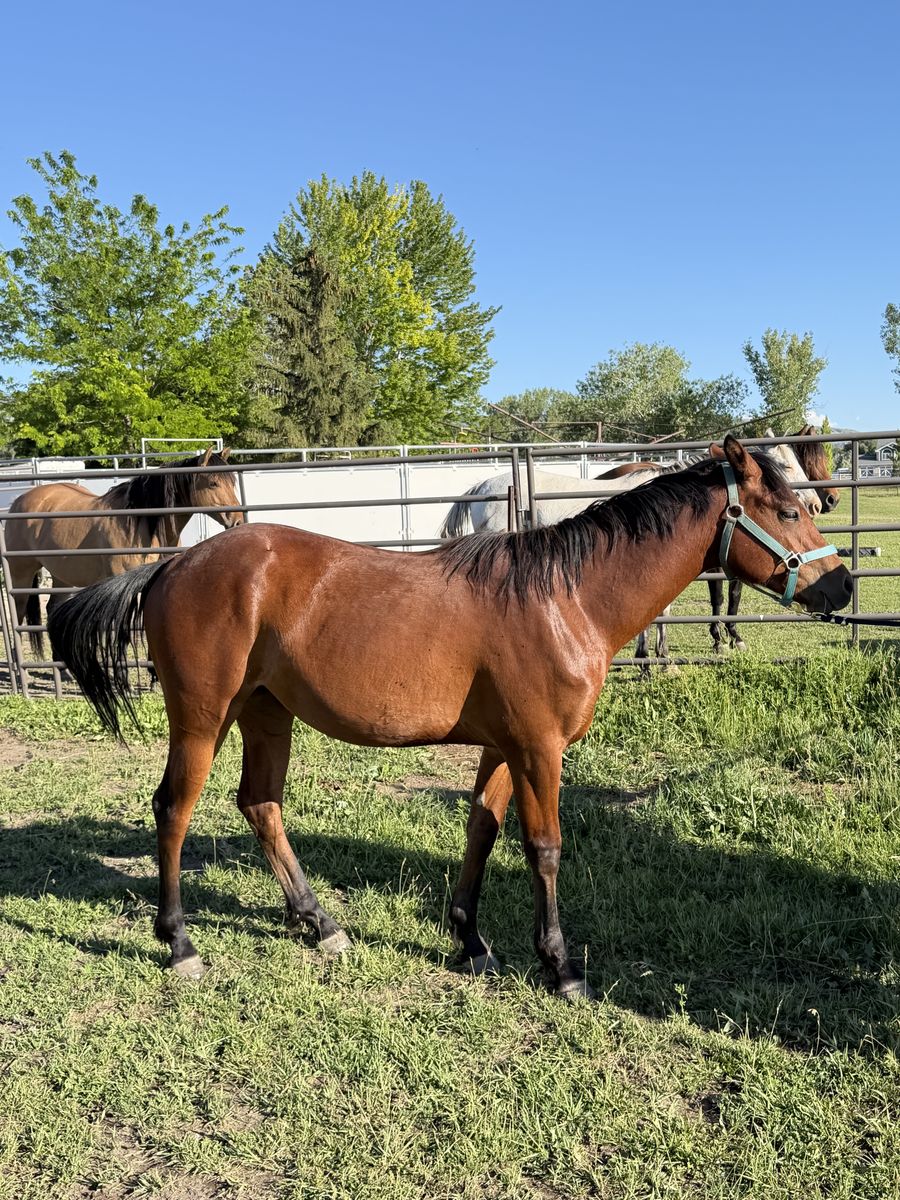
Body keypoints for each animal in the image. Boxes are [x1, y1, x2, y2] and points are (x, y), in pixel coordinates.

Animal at [4, 449, 243, 654]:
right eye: (213, 483)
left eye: (232, 482)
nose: (238, 521)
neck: (140, 523)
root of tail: (18, 501)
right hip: (21, 574)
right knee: (19, 612)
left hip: (62, 576)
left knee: (53, 609)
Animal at [47, 436, 851, 998]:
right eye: (788, 511)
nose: (842, 585)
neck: (564, 598)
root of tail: (171, 565)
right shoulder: (539, 748)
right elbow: (544, 847)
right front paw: (560, 965)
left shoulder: (504, 746)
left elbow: (481, 831)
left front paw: (471, 942)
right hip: (202, 717)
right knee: (174, 809)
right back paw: (180, 945)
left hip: (266, 714)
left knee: (260, 804)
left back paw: (320, 924)